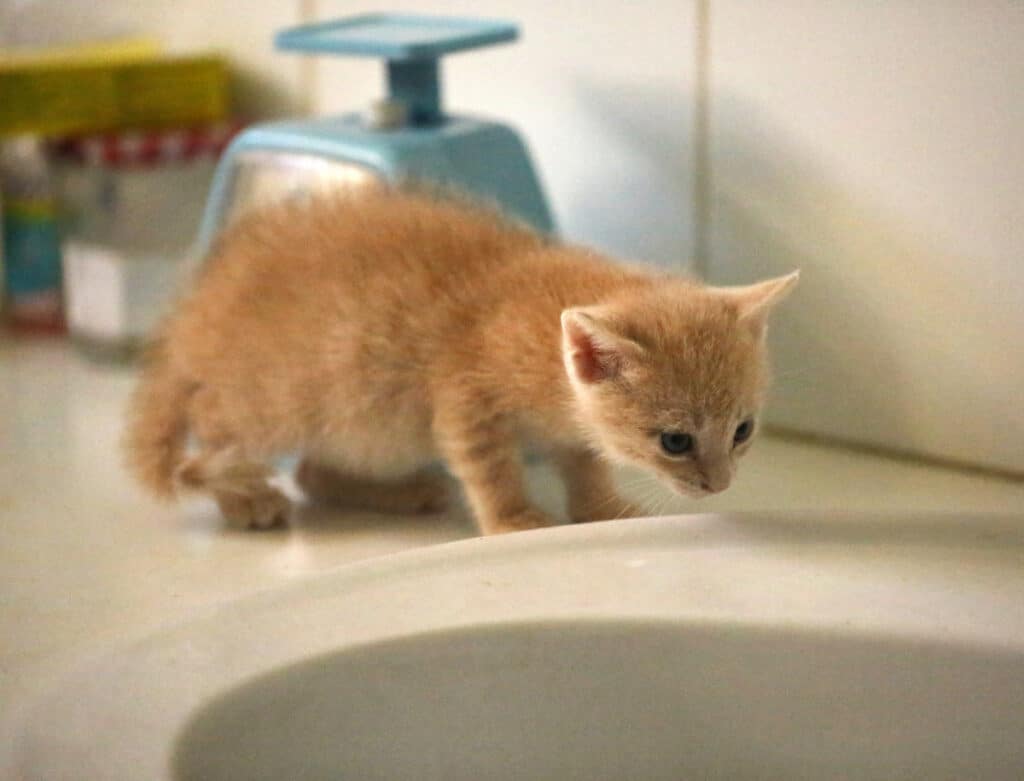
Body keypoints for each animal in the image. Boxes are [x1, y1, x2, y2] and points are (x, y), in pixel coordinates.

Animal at [123, 186, 798, 536]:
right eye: (675, 442)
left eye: (742, 431)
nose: (720, 485)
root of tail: (194, 315)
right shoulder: (464, 397)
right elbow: (488, 465)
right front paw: (515, 519)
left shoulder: (569, 425)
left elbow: (583, 462)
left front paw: (601, 510)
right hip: (280, 401)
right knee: (204, 447)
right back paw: (244, 498)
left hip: (365, 425)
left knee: (314, 470)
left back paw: (399, 493)